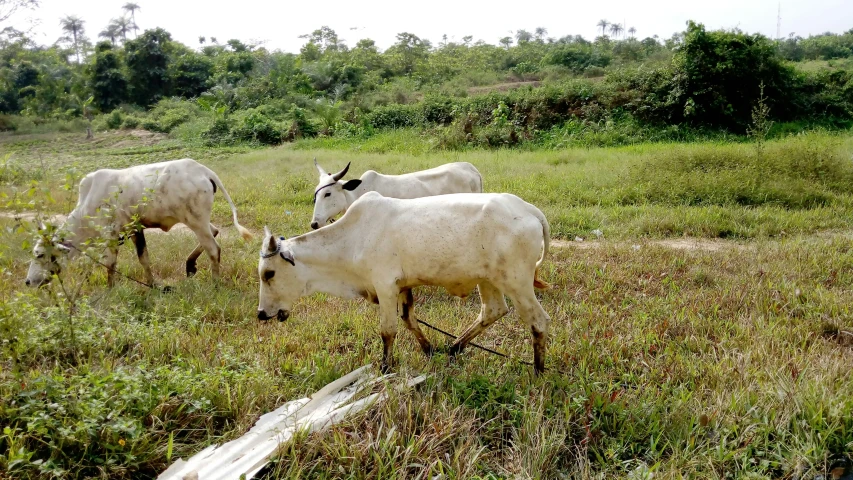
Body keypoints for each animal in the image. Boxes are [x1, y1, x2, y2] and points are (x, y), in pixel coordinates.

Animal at [25, 159, 253, 286]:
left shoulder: (111, 233)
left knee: (213, 249)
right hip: (198, 221)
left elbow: (110, 263)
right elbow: (144, 258)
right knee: (214, 232)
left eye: (39, 254)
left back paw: (215, 283)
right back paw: (190, 266)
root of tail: (203, 170)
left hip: (195, 220)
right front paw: (152, 284)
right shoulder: (135, 229)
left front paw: (110, 289)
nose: (28, 281)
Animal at [258, 192, 552, 376]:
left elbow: (388, 330)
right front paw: (429, 350)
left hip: (517, 282)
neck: (352, 238)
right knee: (493, 310)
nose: (261, 314)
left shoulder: (385, 286)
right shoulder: (403, 287)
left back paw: (538, 372)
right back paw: (454, 348)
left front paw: (386, 368)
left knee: (538, 321)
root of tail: (528, 209)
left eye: (268, 273)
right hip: (488, 279)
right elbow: (409, 320)